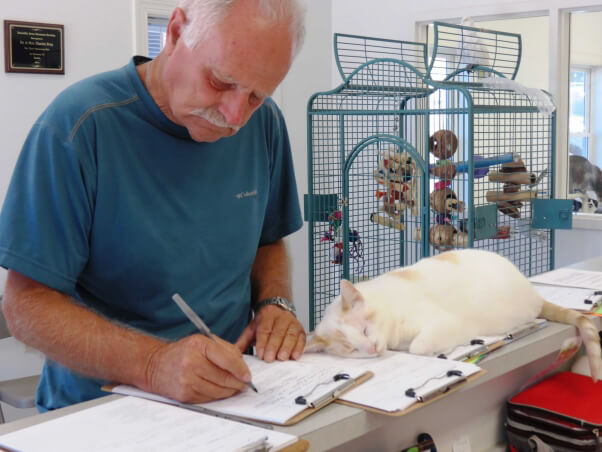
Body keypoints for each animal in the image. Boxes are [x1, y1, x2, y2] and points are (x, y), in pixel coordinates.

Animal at [308, 249, 596, 380]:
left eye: (365, 329)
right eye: (352, 350)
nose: (370, 349)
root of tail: (532, 291)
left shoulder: (447, 323)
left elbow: (417, 347)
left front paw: (436, 350)